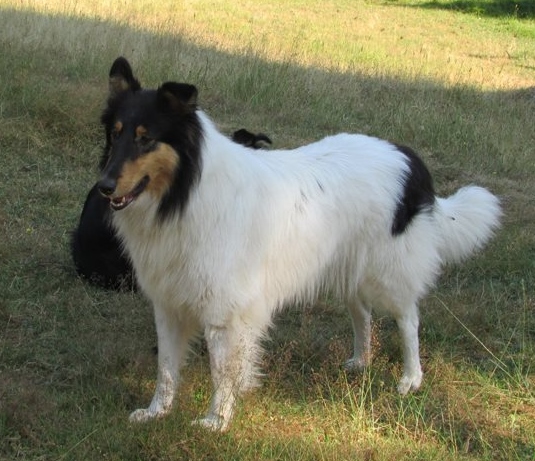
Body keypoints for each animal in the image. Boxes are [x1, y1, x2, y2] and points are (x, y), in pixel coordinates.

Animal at [97, 56, 502, 428]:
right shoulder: (168, 303)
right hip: (348, 267)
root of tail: (409, 159)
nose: (103, 187)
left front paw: (216, 421)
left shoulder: (225, 311)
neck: (184, 193)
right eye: (115, 134)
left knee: (409, 319)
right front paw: (156, 413)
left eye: (146, 138)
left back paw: (410, 379)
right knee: (363, 315)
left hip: (387, 272)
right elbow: (166, 367)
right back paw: (361, 361)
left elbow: (223, 370)